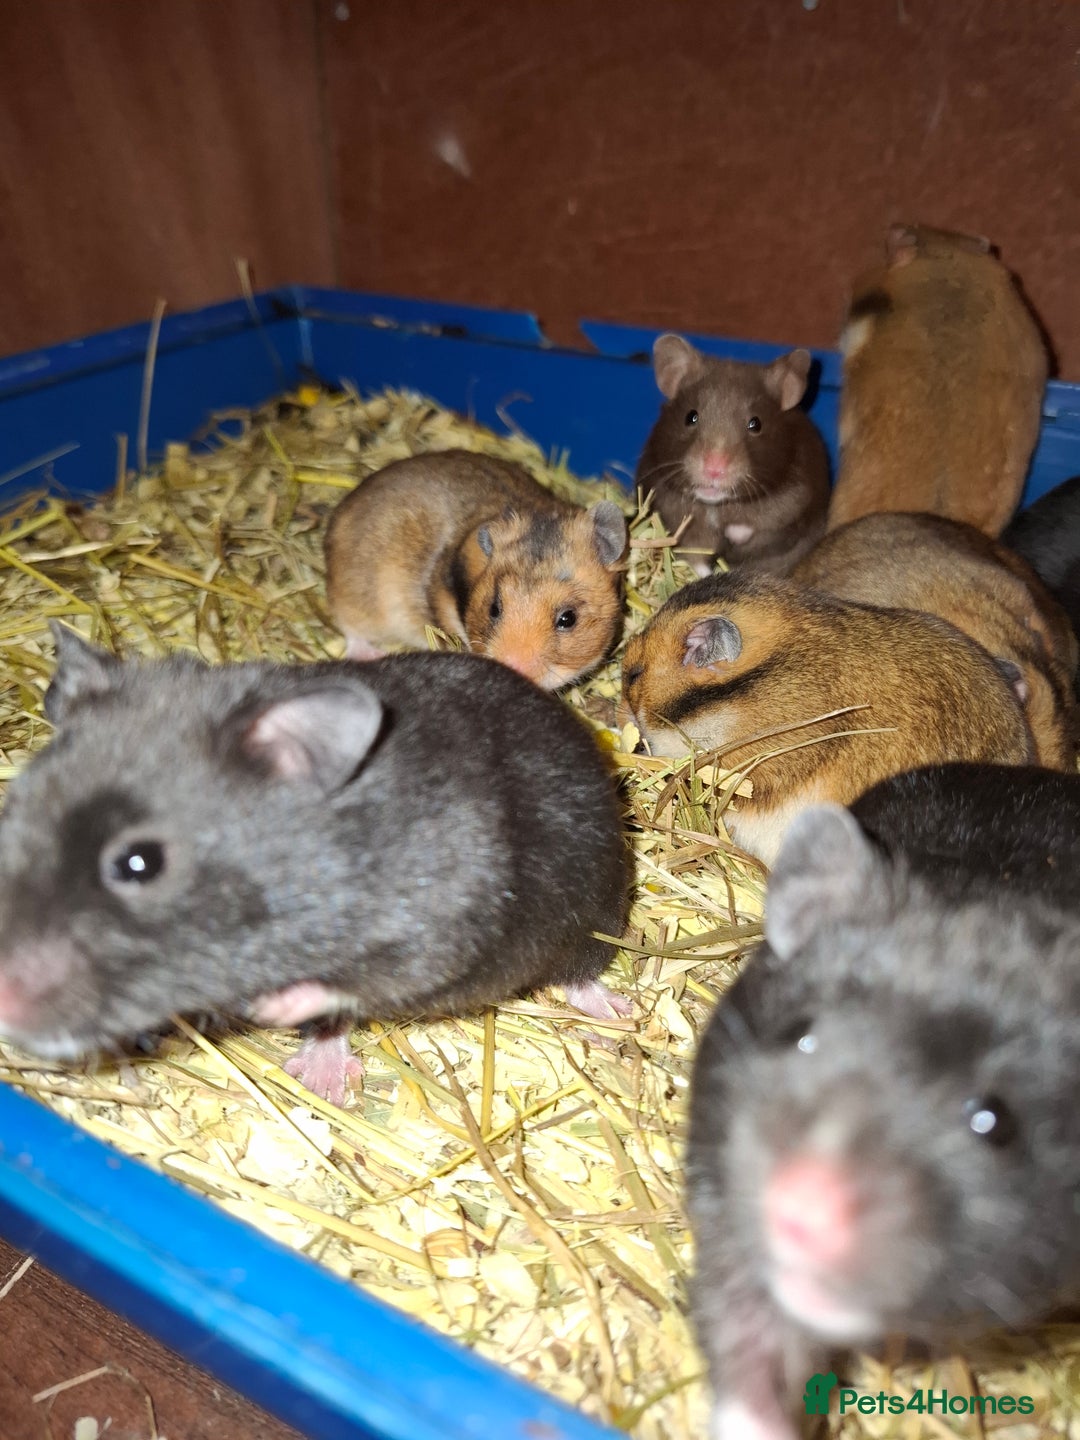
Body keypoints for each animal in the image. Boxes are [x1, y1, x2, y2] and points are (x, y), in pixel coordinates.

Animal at [0, 626, 632, 1105]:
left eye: (138, 863)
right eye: (12, 810)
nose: (5, 1004)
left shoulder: (448, 913)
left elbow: (355, 979)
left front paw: (265, 1003)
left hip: (595, 906)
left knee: (582, 969)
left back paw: (619, 1016)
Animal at [634, 336, 830, 577]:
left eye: (756, 424)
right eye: (690, 417)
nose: (714, 468)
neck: (715, 506)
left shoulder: (794, 502)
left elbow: (761, 524)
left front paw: (732, 532)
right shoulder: (676, 515)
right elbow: (694, 558)